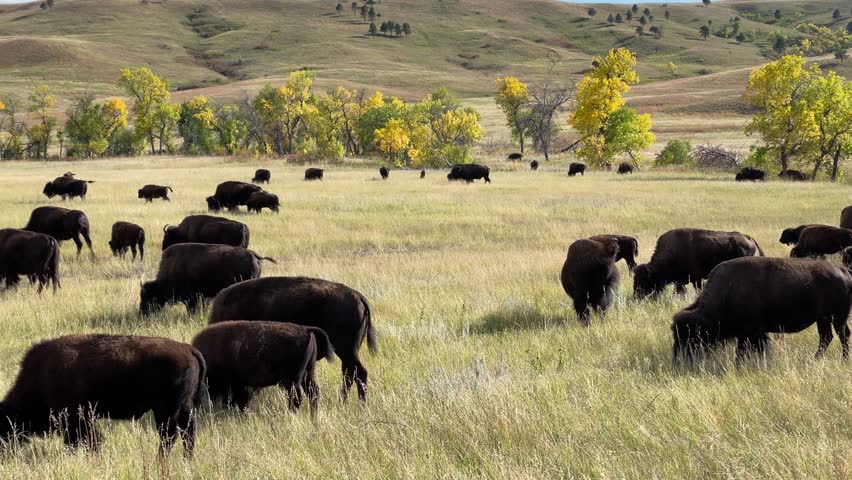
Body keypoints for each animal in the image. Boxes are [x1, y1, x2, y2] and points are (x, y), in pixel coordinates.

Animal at [0, 334, 206, 456]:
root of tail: (187, 348)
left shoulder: (76, 420)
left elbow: (85, 441)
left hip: (166, 411)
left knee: (170, 436)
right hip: (183, 408)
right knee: (187, 433)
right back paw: (187, 460)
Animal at [192, 321, 333, 417]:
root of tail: (305, 329)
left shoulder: (234, 384)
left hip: (293, 380)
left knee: (296, 398)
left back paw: (291, 415)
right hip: (308, 374)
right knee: (313, 393)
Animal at [208, 277, 376, 402]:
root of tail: (359, 296)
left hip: (346, 350)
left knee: (359, 373)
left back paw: (358, 404)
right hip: (347, 352)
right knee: (349, 373)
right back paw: (344, 402)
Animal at [672, 257, 852, 364]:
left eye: (691, 336)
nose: (677, 359)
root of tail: (844, 271)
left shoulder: (752, 332)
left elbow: (746, 350)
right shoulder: (748, 334)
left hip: (837, 317)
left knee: (842, 335)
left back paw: (843, 360)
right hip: (823, 319)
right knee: (826, 337)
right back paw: (815, 359)